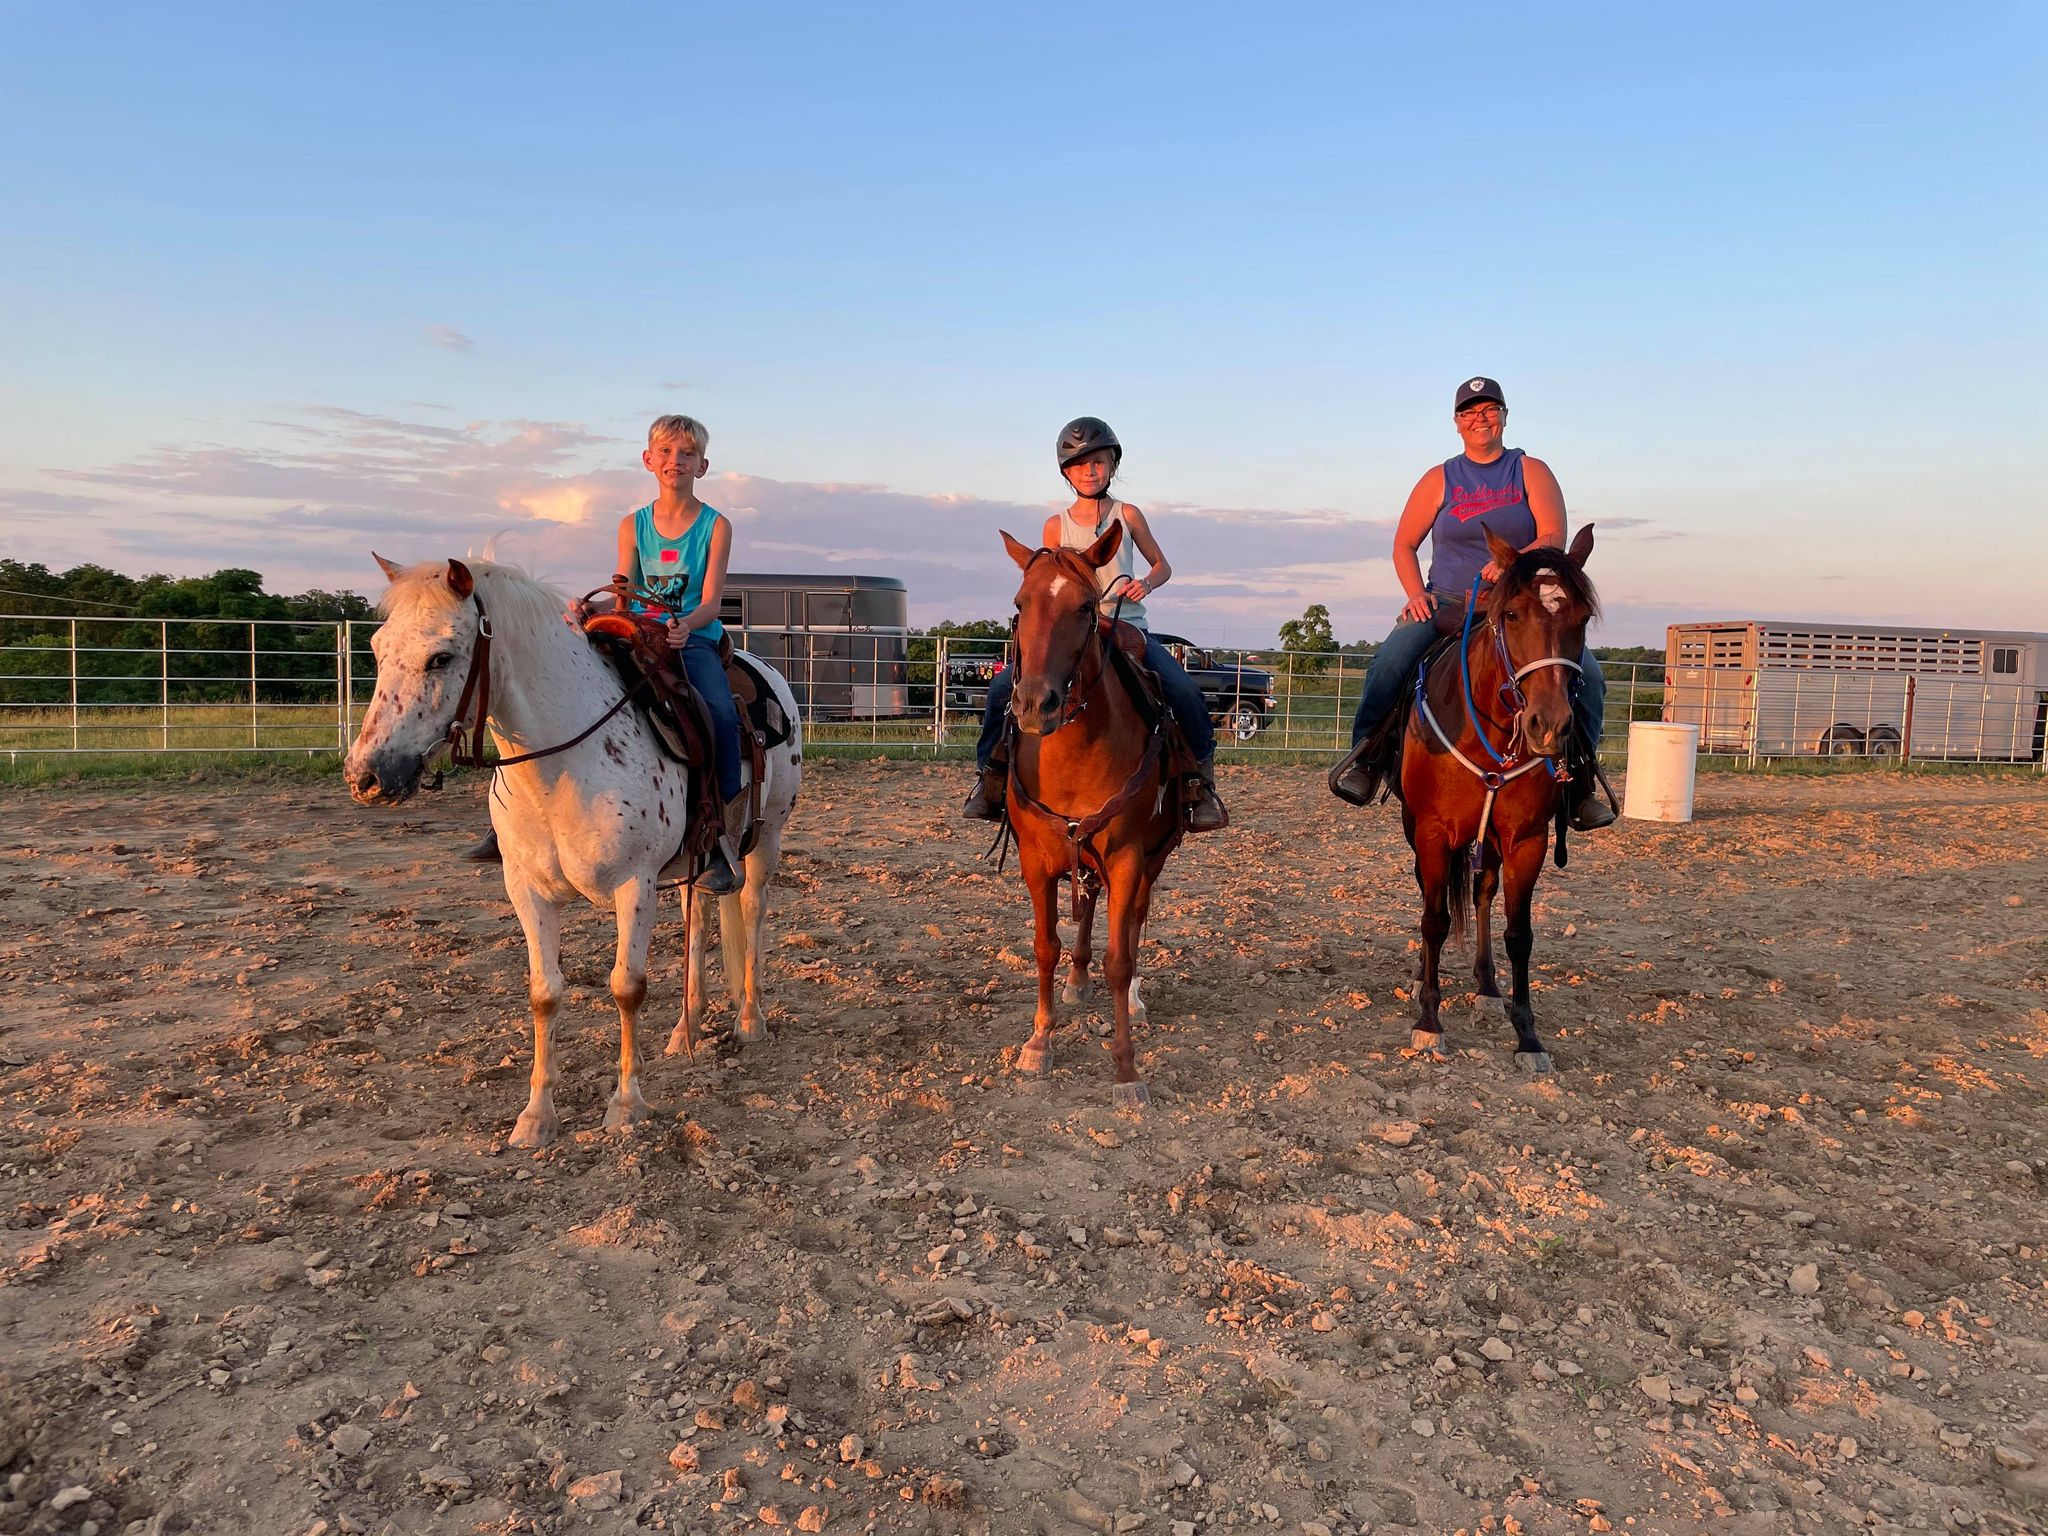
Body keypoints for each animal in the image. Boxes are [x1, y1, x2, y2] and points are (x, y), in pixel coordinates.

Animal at [342, 556, 803, 1147]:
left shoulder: (636, 884)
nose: (367, 776)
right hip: (696, 861)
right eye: (377, 649)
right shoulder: (527, 890)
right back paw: (686, 1028)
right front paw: (536, 1116)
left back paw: (750, 1020)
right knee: (699, 920)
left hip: (765, 841)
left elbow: (627, 987)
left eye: (441, 656)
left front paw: (627, 1105)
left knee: (751, 910)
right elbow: (545, 992)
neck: (562, 764)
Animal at [998, 525, 1183, 1109]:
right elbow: (1045, 947)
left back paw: (1138, 1001)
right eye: (1020, 603)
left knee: (1135, 921)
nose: (1035, 705)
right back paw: (1078, 982)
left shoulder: (1126, 856)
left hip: (1152, 859)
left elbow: (1119, 960)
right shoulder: (1036, 861)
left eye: (1084, 606)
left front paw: (1126, 1068)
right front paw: (1039, 1042)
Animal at [1398, 525, 1597, 1072]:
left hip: (1489, 840)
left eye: (1583, 618)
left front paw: (1528, 1035)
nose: (1548, 725)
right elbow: (1435, 919)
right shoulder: (1432, 832)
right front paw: (1429, 1021)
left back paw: (1487, 990)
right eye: (1511, 615)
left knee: (1483, 892)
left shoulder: (1527, 840)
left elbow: (1519, 934)